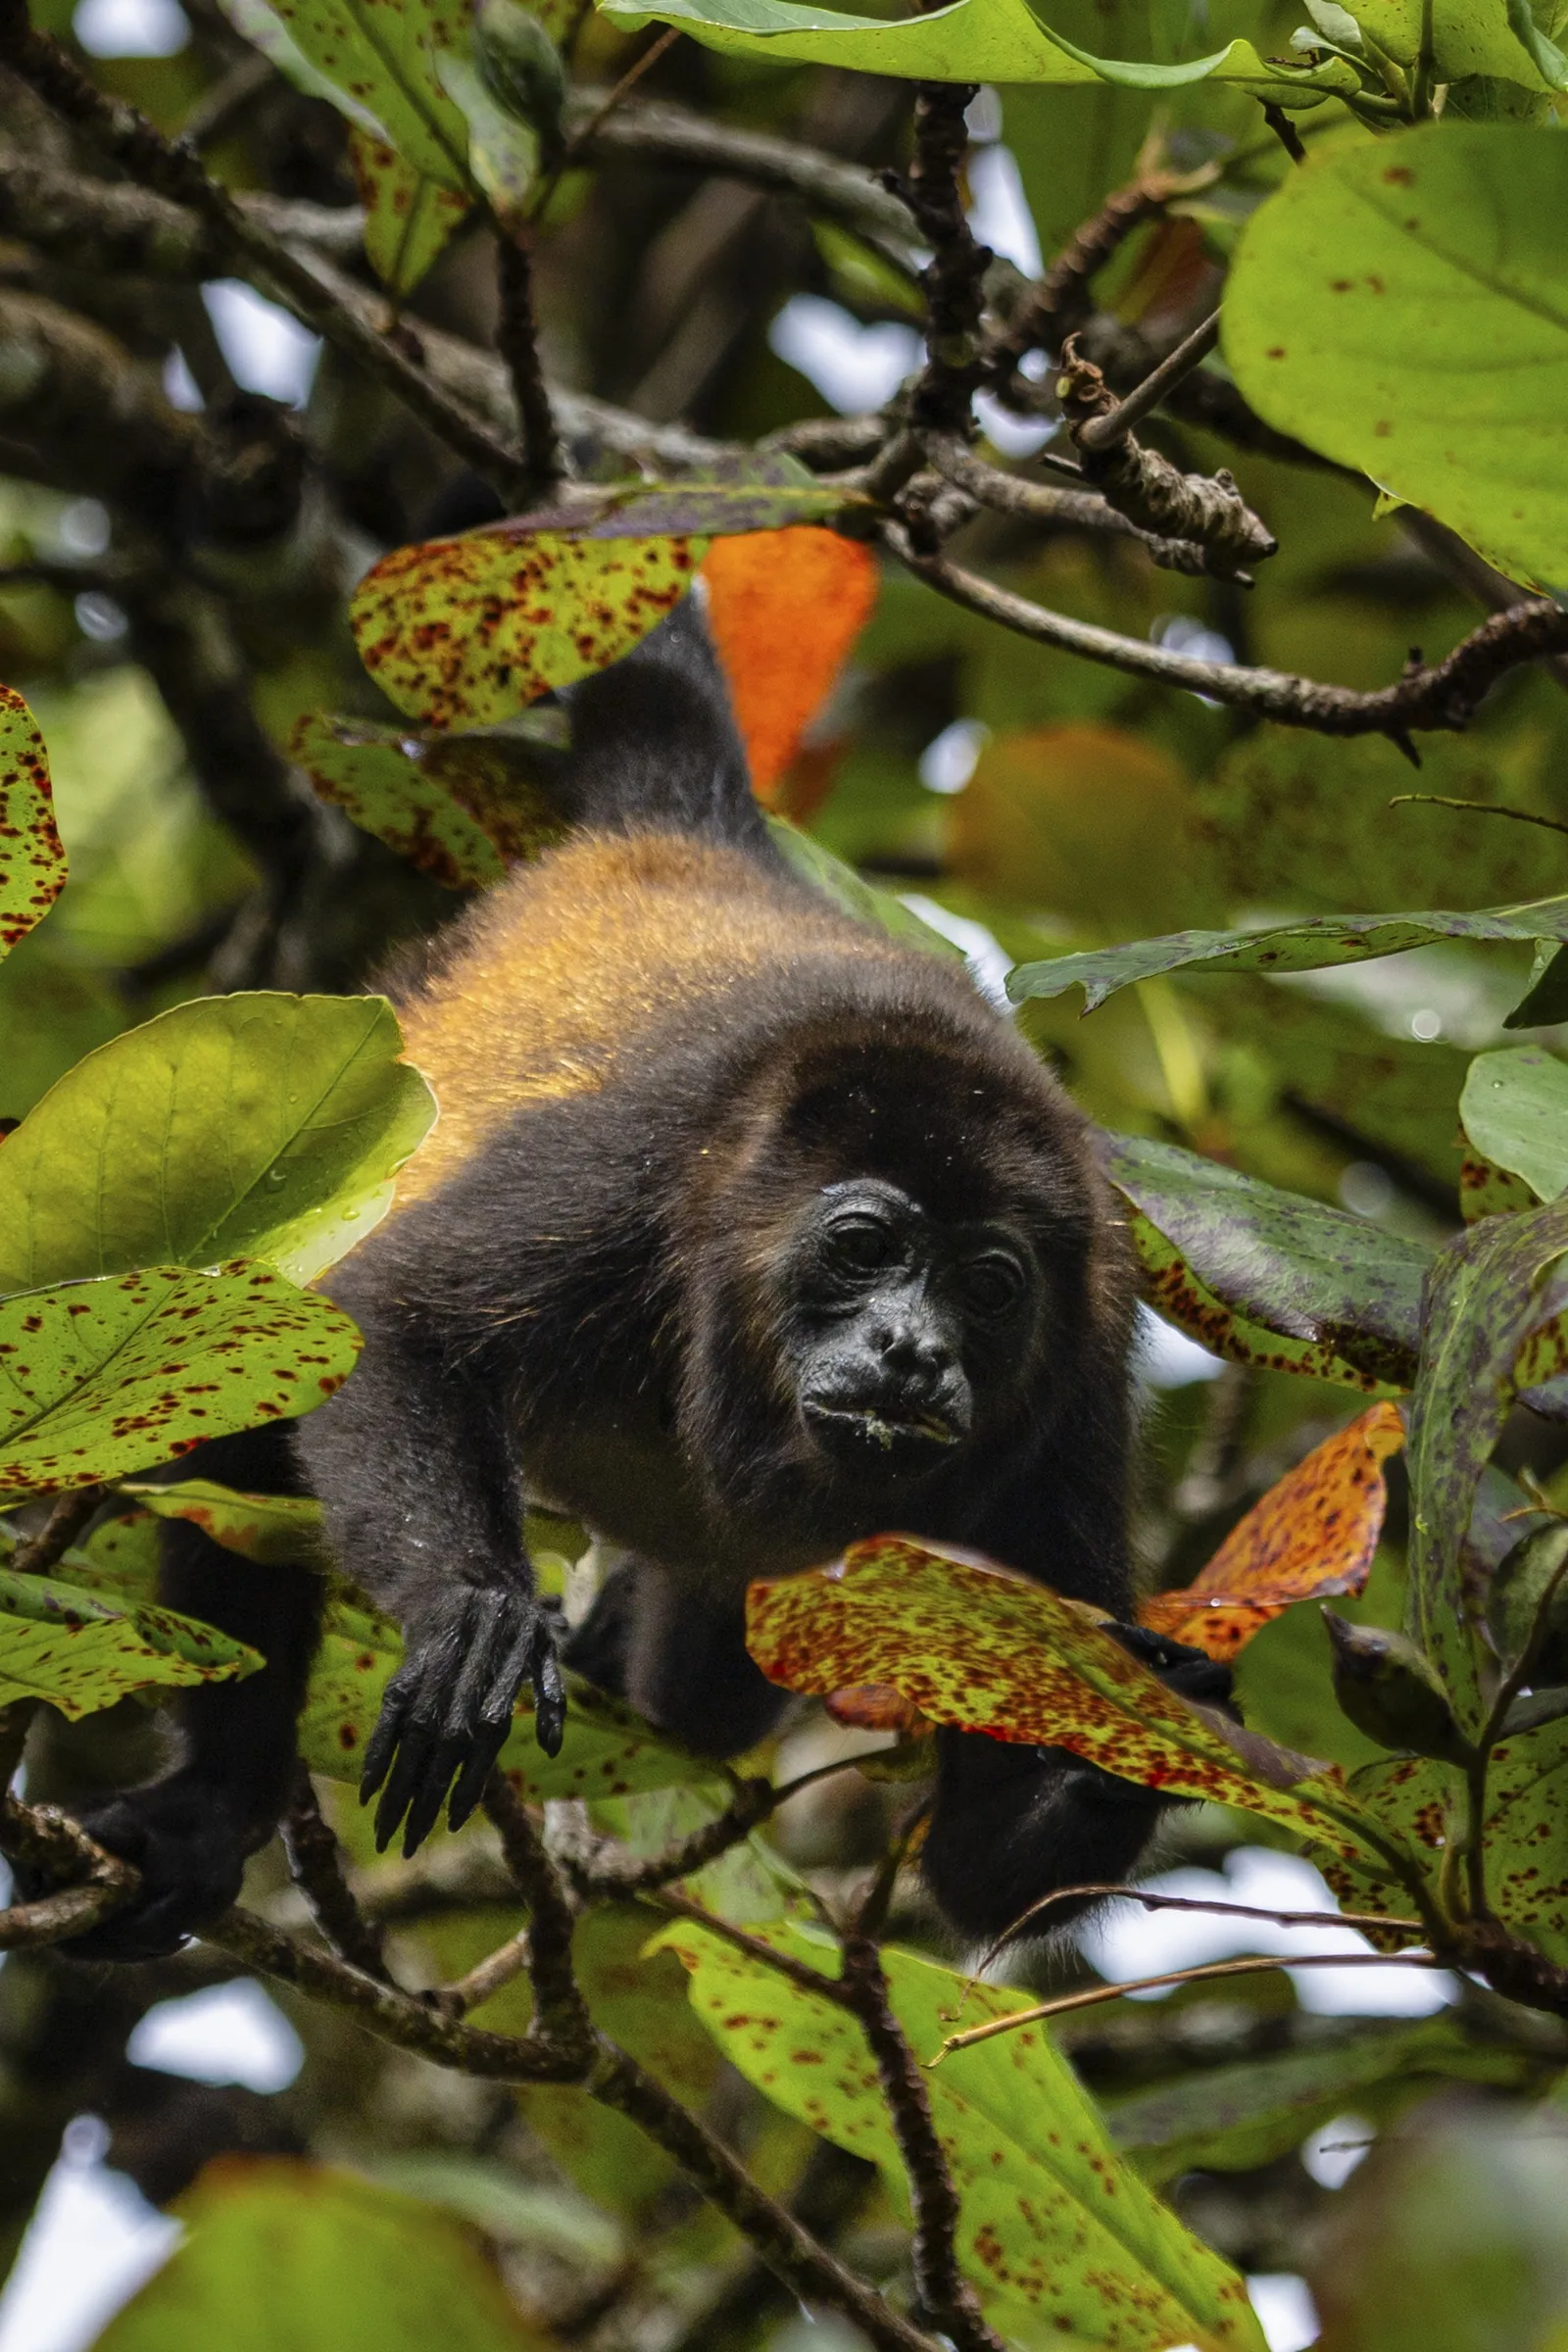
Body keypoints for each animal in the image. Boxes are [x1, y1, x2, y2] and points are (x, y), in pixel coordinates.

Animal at [53, 593, 1230, 1960]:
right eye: (864, 1247)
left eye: (990, 1289)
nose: (912, 1349)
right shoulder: (639, 1169)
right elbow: (387, 1319)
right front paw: (474, 1613)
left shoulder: (1079, 1394)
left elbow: (987, 1867)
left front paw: (1148, 1737)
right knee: (257, 1402)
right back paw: (214, 1803)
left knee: (711, 1702)